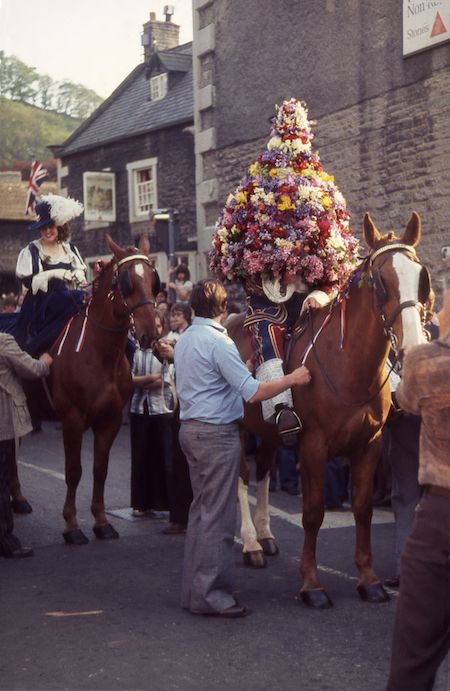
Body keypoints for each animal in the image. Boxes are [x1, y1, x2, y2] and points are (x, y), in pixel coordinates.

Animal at [26, 238, 160, 548]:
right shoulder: (72, 420)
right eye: (126, 283)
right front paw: (72, 526)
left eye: (153, 279)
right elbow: (74, 471)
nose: (150, 334)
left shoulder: (109, 421)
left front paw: (101, 522)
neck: (99, 355)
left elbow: (100, 469)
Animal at [229, 214, 432, 608]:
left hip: (269, 433)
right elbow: (313, 513)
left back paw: (265, 536)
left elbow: (363, 509)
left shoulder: (369, 446)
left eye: (421, 277)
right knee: (243, 478)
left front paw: (369, 580)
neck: (347, 366)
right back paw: (249, 543)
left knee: (263, 474)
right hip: (239, 428)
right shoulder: (313, 448)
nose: (415, 348)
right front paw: (312, 584)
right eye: (382, 281)